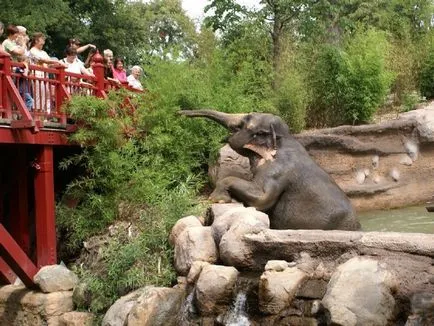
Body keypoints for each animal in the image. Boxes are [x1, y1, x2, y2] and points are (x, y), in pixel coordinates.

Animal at [178, 110, 362, 232]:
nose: (180, 113)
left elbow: (262, 198)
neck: (284, 138)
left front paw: (218, 200)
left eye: (244, 121)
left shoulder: (277, 170)